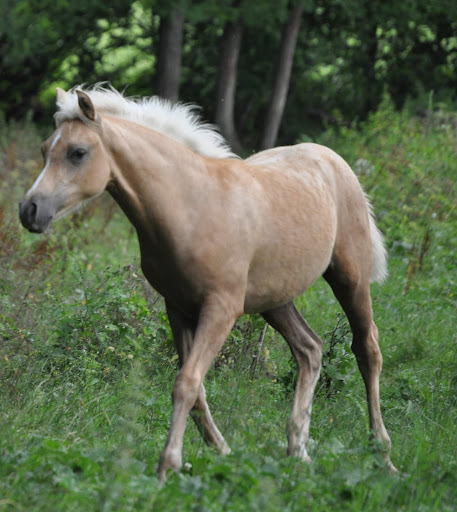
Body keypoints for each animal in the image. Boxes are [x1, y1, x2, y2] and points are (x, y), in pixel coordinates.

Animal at [19, 86, 394, 482]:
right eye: (45, 149)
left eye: (78, 152)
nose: (30, 210)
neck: (192, 206)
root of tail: (334, 160)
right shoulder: (178, 309)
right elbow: (195, 387)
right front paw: (223, 453)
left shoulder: (221, 309)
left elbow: (186, 383)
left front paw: (167, 466)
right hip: (275, 300)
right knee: (310, 349)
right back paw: (298, 452)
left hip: (350, 279)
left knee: (367, 350)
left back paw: (382, 454)